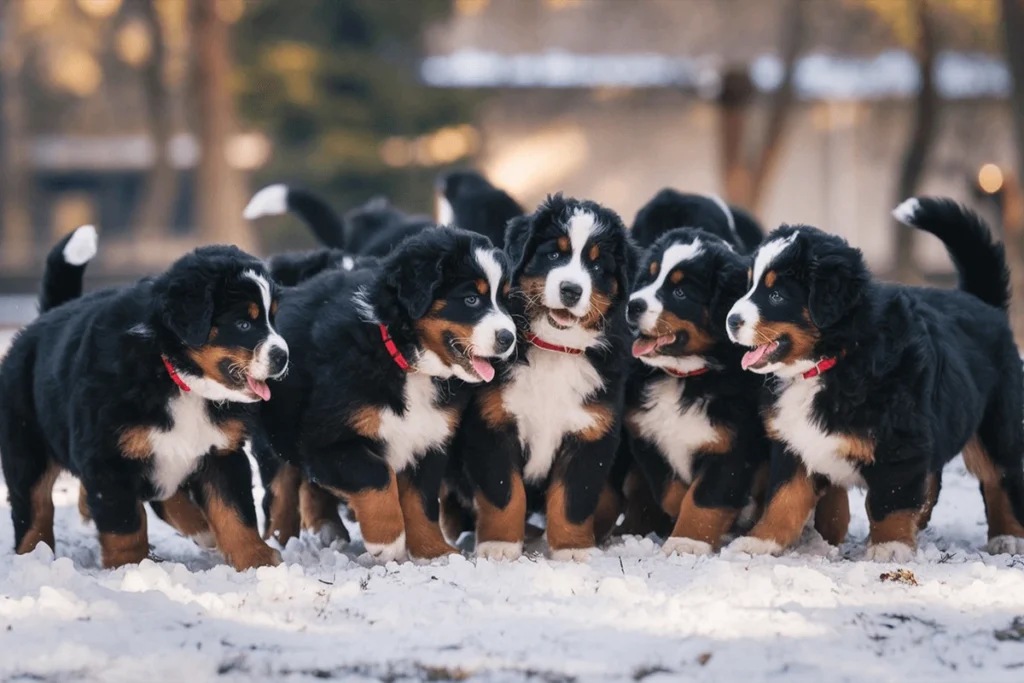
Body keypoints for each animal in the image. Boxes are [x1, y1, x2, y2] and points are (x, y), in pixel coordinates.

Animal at [1, 227, 288, 569]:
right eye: (243, 323)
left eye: (273, 318)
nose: (283, 356)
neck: (174, 375)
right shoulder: (107, 456)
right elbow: (124, 524)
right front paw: (132, 566)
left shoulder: (222, 452)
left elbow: (235, 511)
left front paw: (257, 559)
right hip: (26, 448)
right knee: (34, 508)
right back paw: (33, 556)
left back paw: (200, 528)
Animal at [252, 227, 516, 565]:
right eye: (471, 299)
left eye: (505, 301)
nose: (509, 338)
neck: (406, 360)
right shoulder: (325, 440)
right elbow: (376, 475)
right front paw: (387, 540)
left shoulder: (429, 438)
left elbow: (422, 499)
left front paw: (433, 551)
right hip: (276, 433)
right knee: (279, 492)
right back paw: (284, 540)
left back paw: (328, 527)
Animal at [446, 192, 634, 561]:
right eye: (554, 254)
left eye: (597, 266)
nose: (571, 290)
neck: (556, 348)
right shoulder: (492, 423)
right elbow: (504, 494)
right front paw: (499, 545)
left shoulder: (590, 433)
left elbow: (573, 499)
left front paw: (573, 550)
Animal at [618, 229, 770, 557]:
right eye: (649, 277)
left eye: (680, 293)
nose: (633, 305)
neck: (683, 376)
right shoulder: (646, 438)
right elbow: (672, 490)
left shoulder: (731, 446)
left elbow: (704, 498)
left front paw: (687, 542)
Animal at [724, 197, 1024, 561]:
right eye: (749, 286)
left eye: (777, 295)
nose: (731, 320)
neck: (832, 360)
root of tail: (982, 303)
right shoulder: (793, 443)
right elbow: (783, 498)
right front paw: (760, 542)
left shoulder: (899, 441)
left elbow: (889, 500)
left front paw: (890, 547)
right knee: (933, 477)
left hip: (997, 425)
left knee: (1001, 477)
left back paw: (1008, 537)